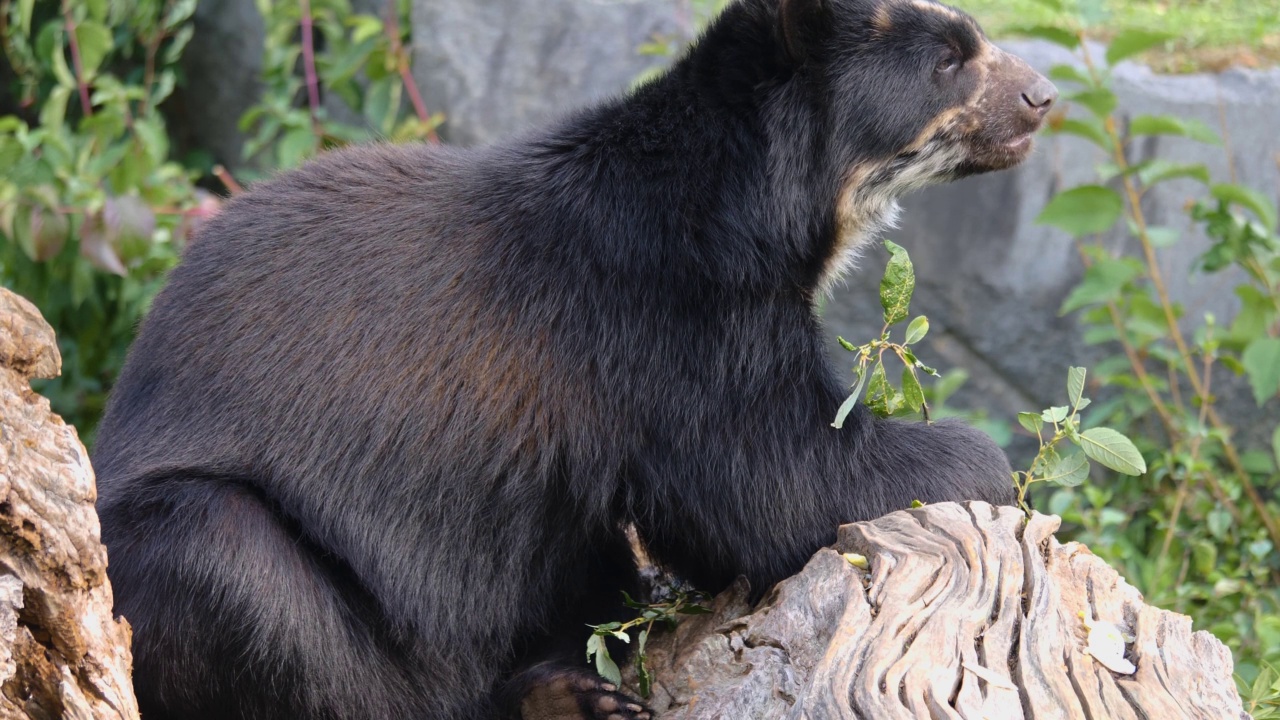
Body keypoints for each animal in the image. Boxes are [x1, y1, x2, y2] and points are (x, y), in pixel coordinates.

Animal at [90, 0, 1054, 712]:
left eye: (973, 39)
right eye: (950, 60)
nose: (1043, 96)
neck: (752, 204)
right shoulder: (671, 313)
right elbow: (774, 480)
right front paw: (987, 464)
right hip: (192, 559)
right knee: (232, 562)